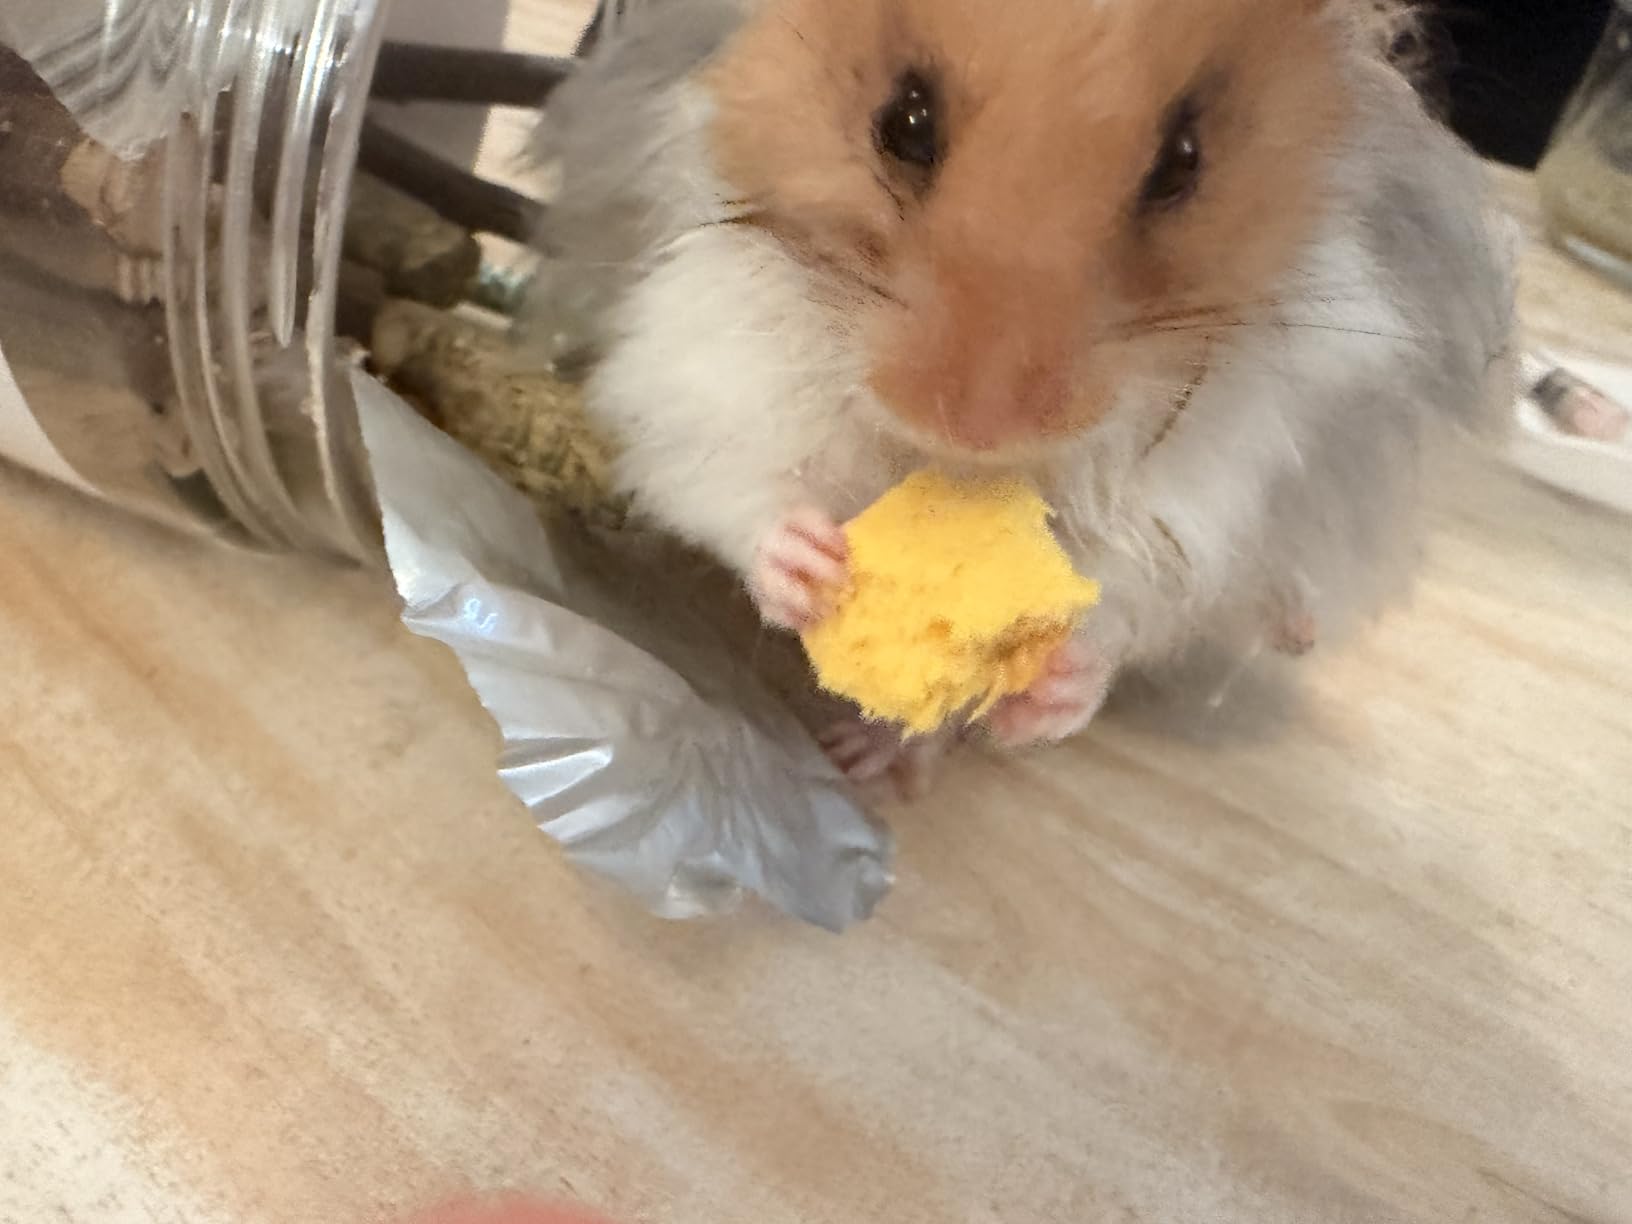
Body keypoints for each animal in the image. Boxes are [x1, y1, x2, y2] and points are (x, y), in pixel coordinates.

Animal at [527, 0, 1515, 780]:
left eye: (1183, 161)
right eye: (905, 120)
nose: (979, 423)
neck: (942, 466)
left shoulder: (1215, 485)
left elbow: (1133, 600)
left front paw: (1055, 687)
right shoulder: (704, 358)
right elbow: (730, 483)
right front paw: (812, 569)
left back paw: (877, 760)